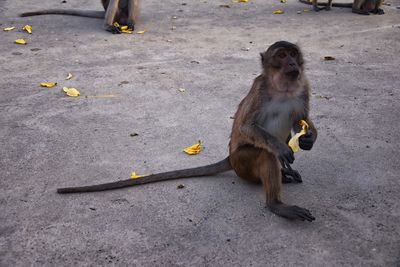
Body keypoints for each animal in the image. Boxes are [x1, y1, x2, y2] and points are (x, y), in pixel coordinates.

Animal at [57, 41, 318, 222]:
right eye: (281, 56)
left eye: (293, 54)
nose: (292, 64)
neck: (283, 88)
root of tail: (230, 159)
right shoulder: (260, 89)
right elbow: (247, 127)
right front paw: (280, 147)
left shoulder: (304, 86)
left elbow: (300, 121)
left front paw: (309, 138)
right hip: (242, 163)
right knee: (263, 155)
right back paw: (276, 204)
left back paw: (284, 174)